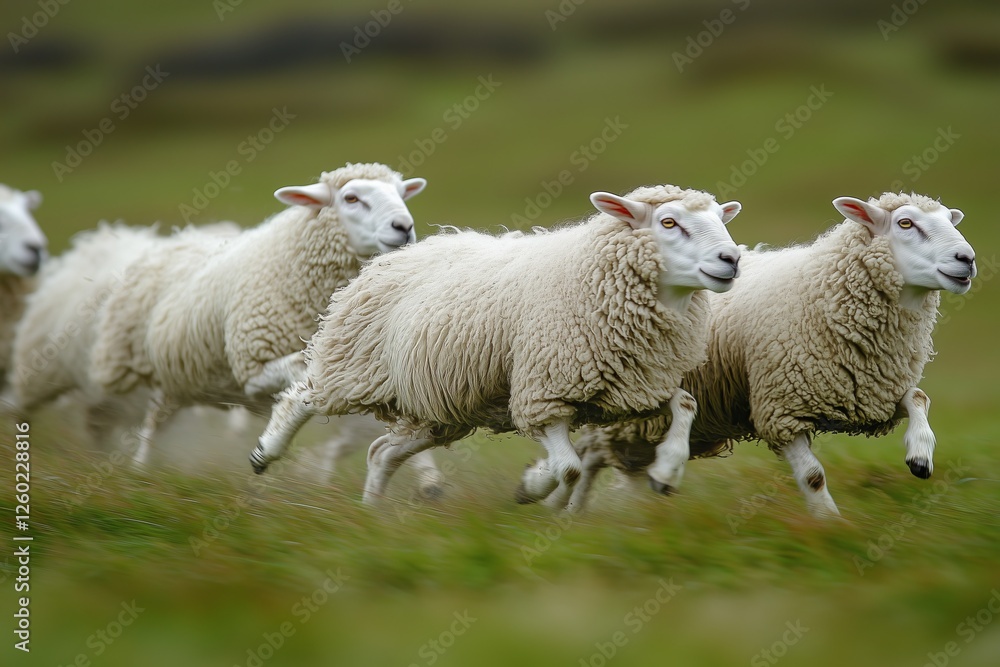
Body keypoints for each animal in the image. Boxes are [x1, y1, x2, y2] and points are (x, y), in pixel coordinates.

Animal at [88, 163, 442, 483]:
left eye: (400, 194)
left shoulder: (366, 365)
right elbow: (299, 376)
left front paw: (426, 475)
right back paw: (138, 468)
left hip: (184, 379)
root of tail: (181, 237)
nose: (403, 226)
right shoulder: (253, 368)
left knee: (158, 417)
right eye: (351, 198)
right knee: (149, 424)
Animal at [250, 184, 743, 510]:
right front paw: (534, 487)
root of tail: (394, 256)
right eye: (668, 222)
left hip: (442, 408)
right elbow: (568, 468)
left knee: (381, 452)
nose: (732, 260)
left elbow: (684, 404)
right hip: (353, 364)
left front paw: (666, 471)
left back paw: (373, 513)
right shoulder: (543, 390)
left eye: (721, 220)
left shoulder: (637, 385)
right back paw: (265, 452)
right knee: (301, 397)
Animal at [566, 192, 976, 518]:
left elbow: (918, 398)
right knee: (590, 456)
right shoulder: (781, 407)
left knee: (625, 465)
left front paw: (920, 456)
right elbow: (813, 476)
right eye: (906, 222)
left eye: (947, 219)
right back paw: (571, 512)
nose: (967, 258)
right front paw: (829, 523)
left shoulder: (873, 390)